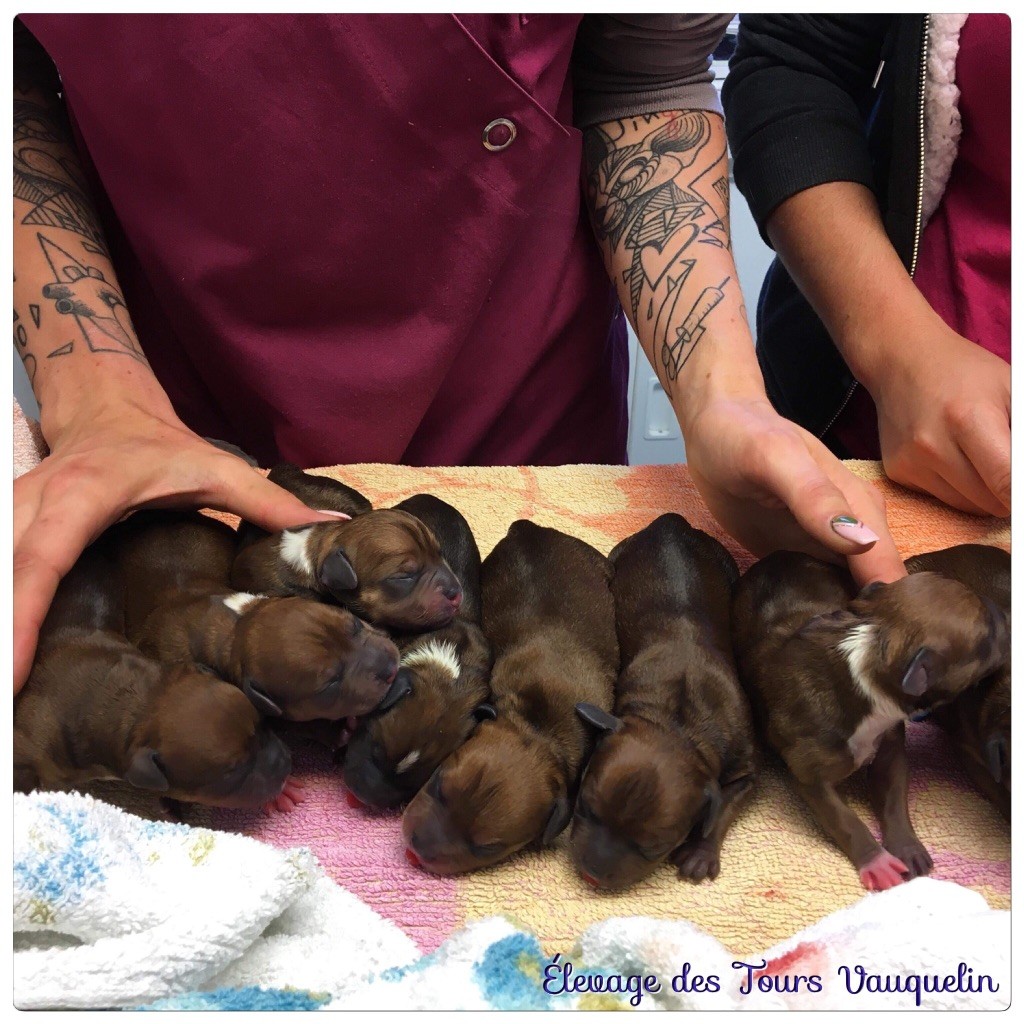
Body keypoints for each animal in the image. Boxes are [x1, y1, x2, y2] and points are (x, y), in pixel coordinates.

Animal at [571, 514, 755, 889]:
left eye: (653, 847)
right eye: (583, 805)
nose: (590, 875)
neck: (676, 724)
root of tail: (673, 520)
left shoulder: (747, 772)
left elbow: (723, 807)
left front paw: (700, 853)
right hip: (619, 555)